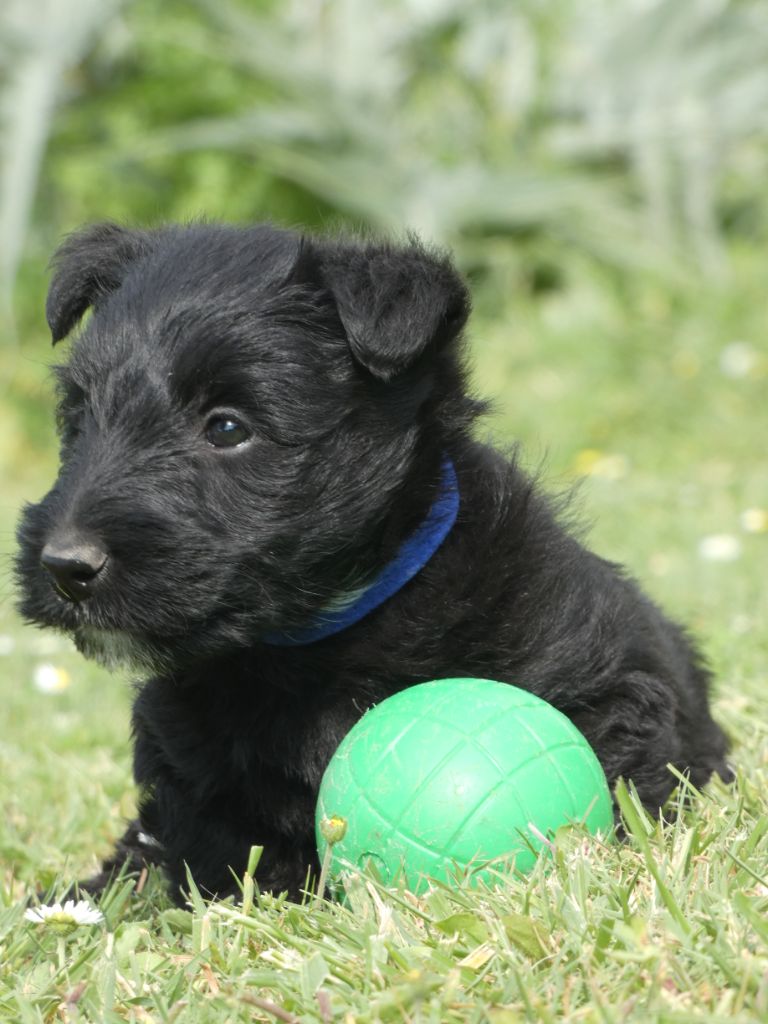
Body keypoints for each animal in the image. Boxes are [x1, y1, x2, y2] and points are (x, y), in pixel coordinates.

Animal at [16, 222, 731, 902]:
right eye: (79, 417)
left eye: (226, 427)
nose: (65, 566)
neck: (320, 637)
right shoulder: (188, 765)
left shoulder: (611, 695)